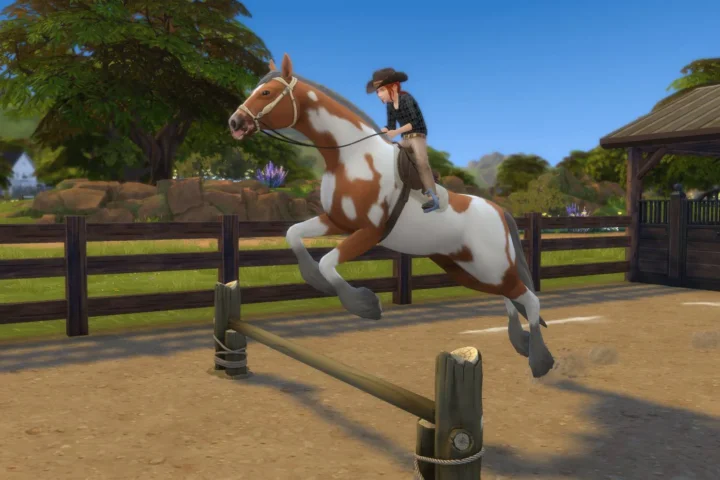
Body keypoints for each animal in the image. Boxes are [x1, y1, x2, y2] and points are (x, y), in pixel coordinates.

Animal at [228, 54, 555, 377]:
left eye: (266, 92)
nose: (235, 122)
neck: (351, 158)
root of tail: (500, 212)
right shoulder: (336, 221)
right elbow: (294, 235)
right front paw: (317, 282)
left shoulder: (369, 232)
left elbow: (328, 262)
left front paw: (365, 305)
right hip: (467, 269)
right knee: (511, 297)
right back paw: (521, 342)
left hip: (490, 267)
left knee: (530, 299)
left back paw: (539, 360)